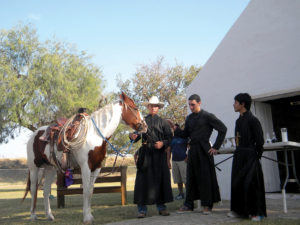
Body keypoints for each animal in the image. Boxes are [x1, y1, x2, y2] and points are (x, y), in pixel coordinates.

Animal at [22, 92, 147, 223]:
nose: (145, 126)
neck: (95, 135)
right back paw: (33, 215)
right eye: (135, 108)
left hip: (50, 168)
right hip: (34, 167)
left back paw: (49, 216)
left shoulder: (96, 168)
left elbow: (91, 191)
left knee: (46, 191)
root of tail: (35, 134)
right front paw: (86, 218)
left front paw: (89, 215)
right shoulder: (85, 167)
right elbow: (86, 191)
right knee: (33, 189)